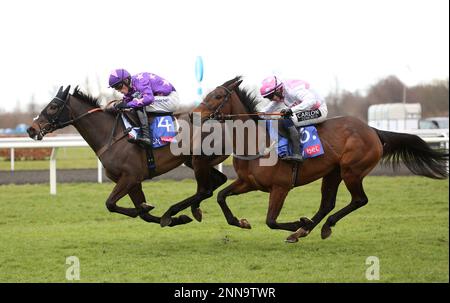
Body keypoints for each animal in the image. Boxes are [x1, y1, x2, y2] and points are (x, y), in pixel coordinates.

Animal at [27, 86, 229, 227]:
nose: (31, 129)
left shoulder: (130, 177)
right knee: (218, 180)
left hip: (200, 159)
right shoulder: (131, 181)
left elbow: (110, 203)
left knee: (208, 187)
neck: (111, 136)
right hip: (192, 161)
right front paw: (173, 218)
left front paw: (152, 211)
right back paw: (194, 209)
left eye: (53, 107)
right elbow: (143, 214)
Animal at [191, 77, 450, 243]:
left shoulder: (280, 187)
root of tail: (373, 130)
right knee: (328, 203)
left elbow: (271, 220)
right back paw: (304, 231)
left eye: (217, 96)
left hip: (351, 171)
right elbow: (221, 196)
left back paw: (317, 227)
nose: (195, 114)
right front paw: (241, 222)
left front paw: (298, 222)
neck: (257, 141)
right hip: (333, 172)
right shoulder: (249, 183)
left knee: (359, 200)